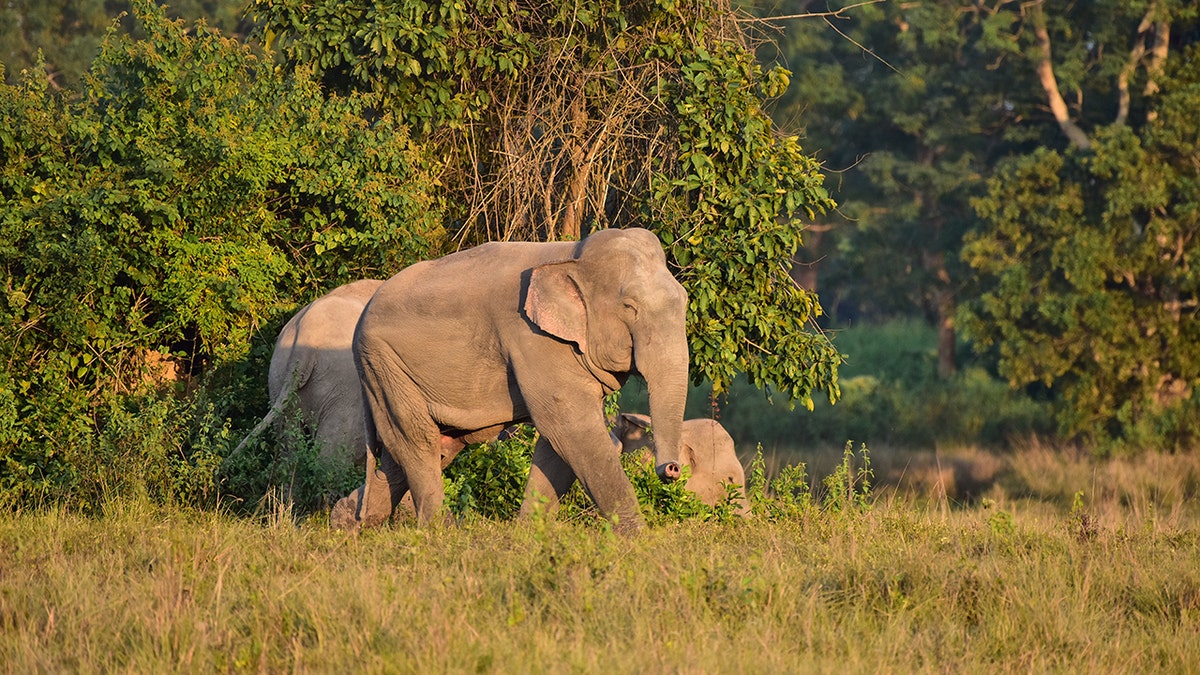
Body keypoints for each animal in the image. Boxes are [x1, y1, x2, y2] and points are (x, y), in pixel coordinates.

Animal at [332, 227, 688, 534]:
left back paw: (349, 521)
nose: (671, 469)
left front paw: (529, 532)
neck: (571, 256)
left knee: (420, 451)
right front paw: (639, 539)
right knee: (418, 442)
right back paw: (438, 531)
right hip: (384, 365)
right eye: (629, 307)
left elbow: (558, 441)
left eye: (685, 300)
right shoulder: (532, 338)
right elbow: (570, 427)